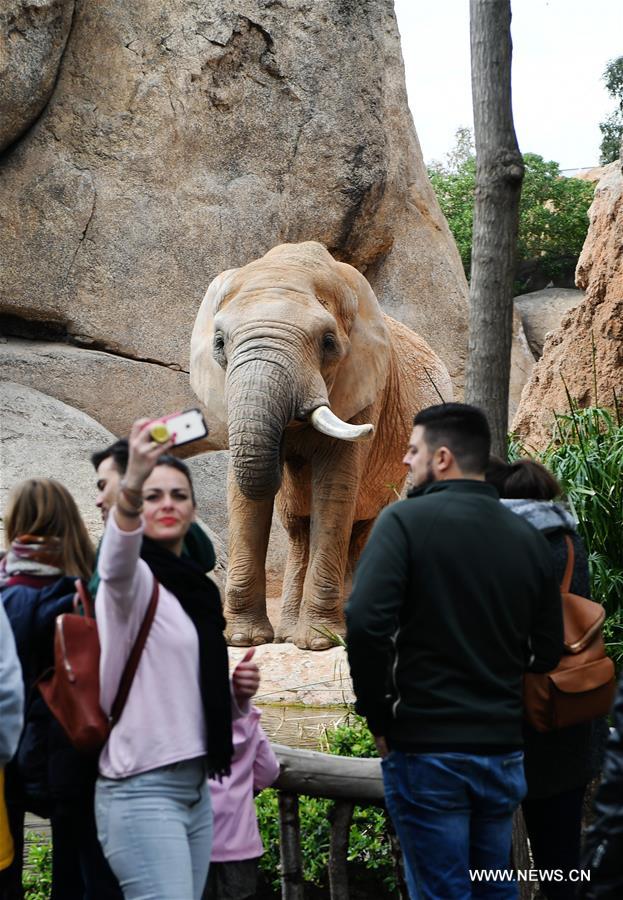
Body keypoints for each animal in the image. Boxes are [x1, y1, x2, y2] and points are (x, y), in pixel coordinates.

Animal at [190, 241, 454, 648]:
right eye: (220, 343)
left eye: (328, 343)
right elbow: (244, 494)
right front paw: (244, 640)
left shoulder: (364, 391)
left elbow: (334, 488)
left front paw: (319, 641)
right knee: (299, 528)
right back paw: (287, 633)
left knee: (361, 526)